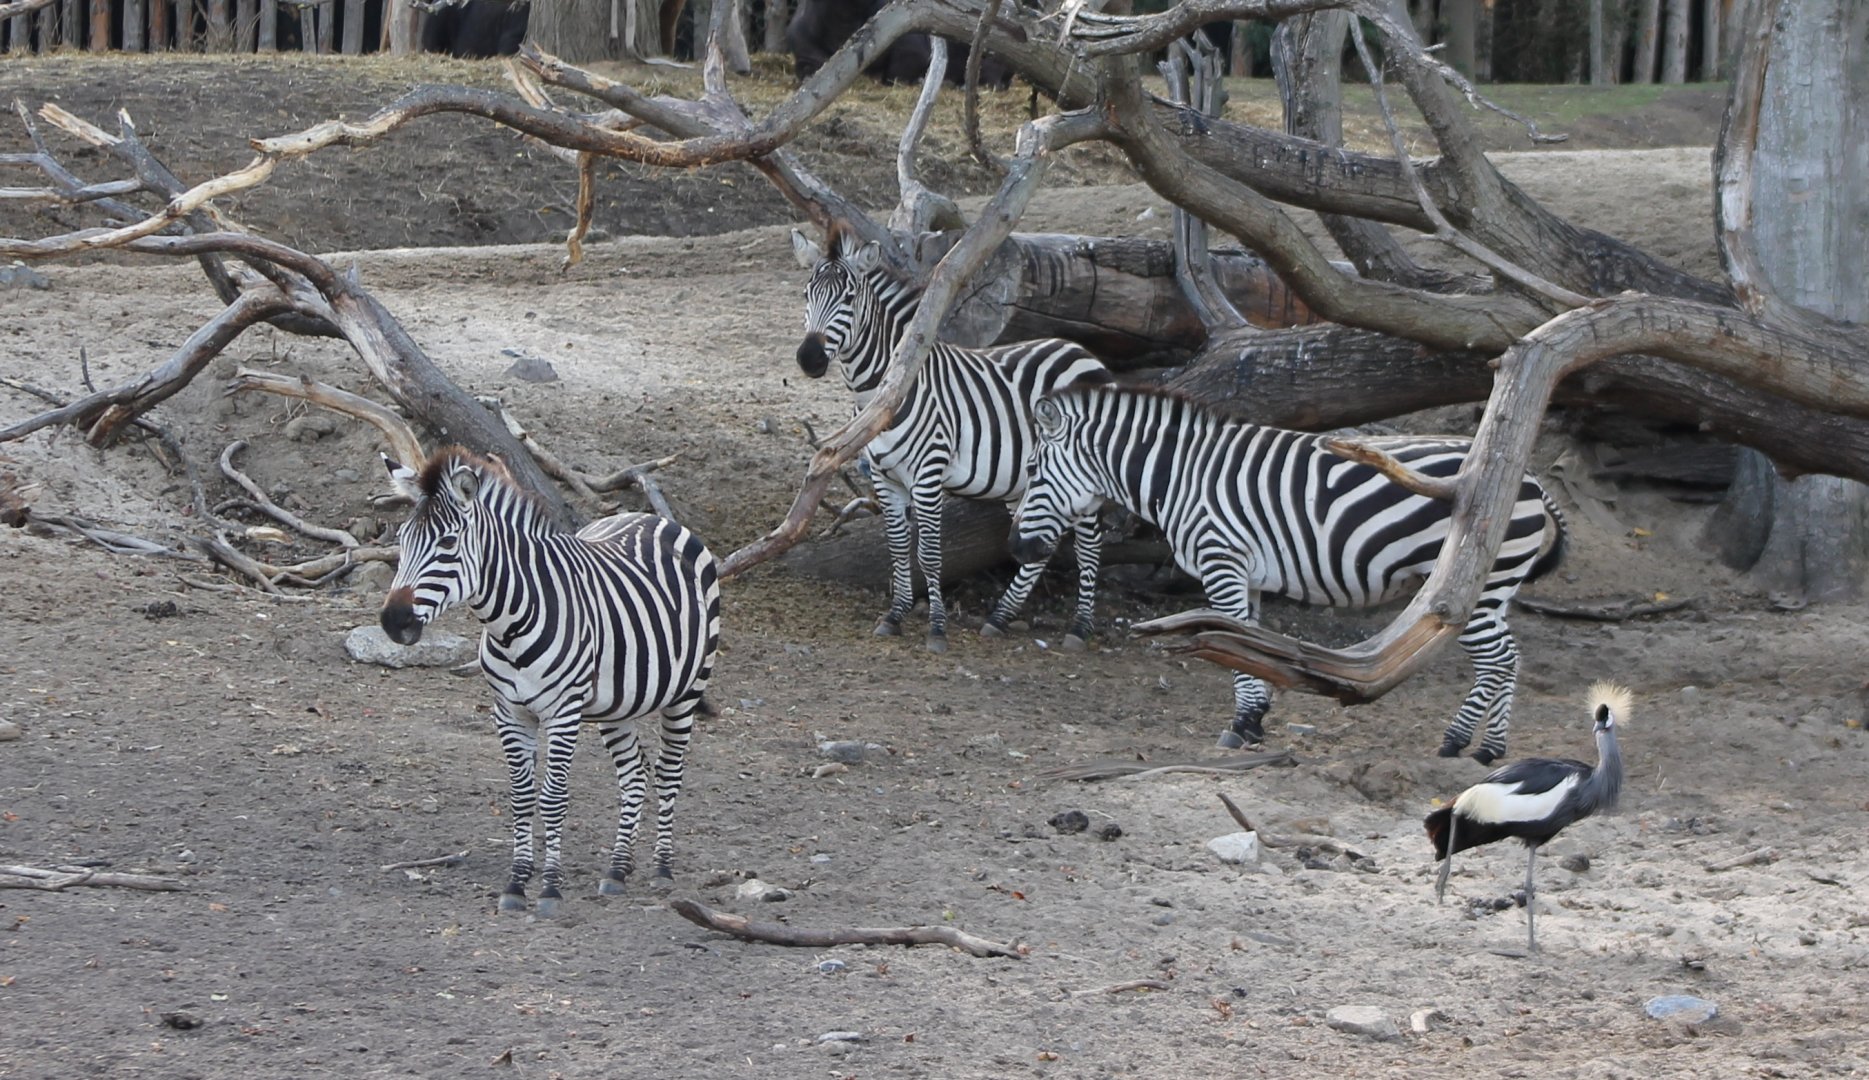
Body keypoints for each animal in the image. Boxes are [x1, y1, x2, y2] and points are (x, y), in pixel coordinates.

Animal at [379, 448, 721, 915]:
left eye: (447, 543)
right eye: (402, 539)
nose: (392, 622)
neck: (509, 623)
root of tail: (651, 517)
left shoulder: (563, 713)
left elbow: (553, 798)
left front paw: (549, 889)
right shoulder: (509, 712)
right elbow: (522, 797)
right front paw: (516, 883)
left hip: (686, 692)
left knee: (669, 772)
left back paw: (662, 869)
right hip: (618, 700)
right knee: (635, 774)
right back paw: (617, 870)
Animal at [792, 226, 1114, 652]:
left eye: (848, 298)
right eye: (806, 294)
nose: (809, 358)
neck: (883, 392)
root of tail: (1081, 351)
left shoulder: (928, 474)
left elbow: (929, 553)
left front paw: (936, 629)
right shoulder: (884, 477)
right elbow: (898, 546)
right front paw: (894, 616)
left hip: (1083, 471)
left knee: (1089, 545)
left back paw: (1079, 628)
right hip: (1028, 480)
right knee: (1040, 548)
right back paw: (998, 618)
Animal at [1008, 384, 1567, 764]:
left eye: (1032, 470)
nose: (1015, 546)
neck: (1178, 475)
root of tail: (1532, 480)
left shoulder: (1222, 560)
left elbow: (1232, 651)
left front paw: (1239, 725)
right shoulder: (1247, 575)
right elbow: (1246, 646)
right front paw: (1254, 722)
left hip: (1474, 587)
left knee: (1497, 661)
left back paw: (1457, 742)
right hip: (1495, 588)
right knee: (1510, 659)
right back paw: (1490, 748)